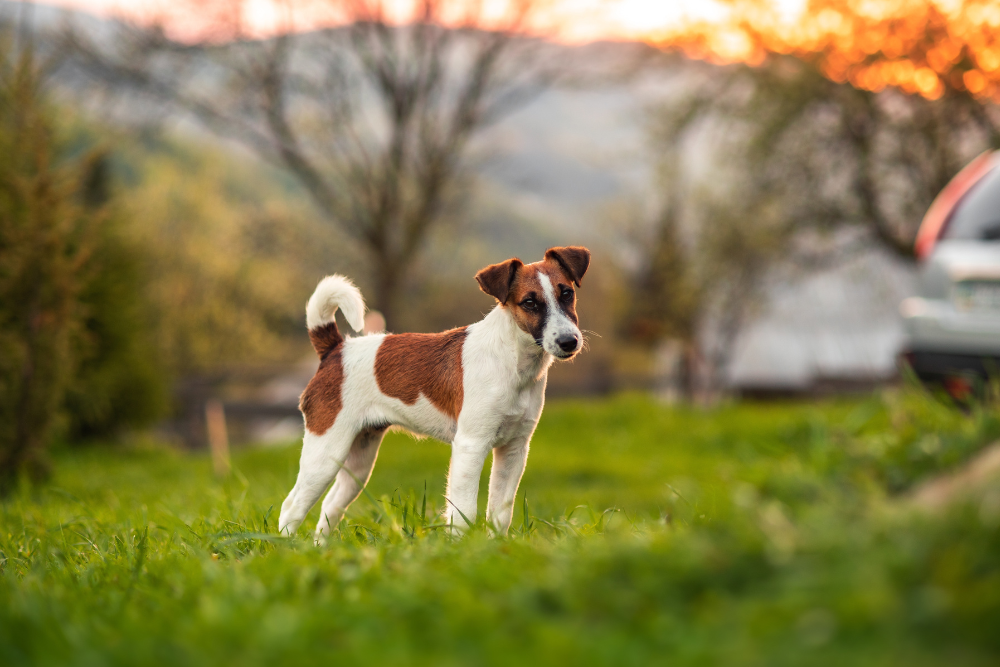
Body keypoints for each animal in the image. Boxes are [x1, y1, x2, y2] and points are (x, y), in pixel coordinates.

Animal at [278, 248, 588, 540]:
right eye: (529, 303)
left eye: (567, 293)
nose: (569, 341)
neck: (511, 359)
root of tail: (336, 349)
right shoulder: (470, 446)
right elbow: (464, 511)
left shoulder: (514, 450)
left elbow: (500, 511)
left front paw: (496, 545)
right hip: (325, 452)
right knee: (291, 506)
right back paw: (286, 546)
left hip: (359, 459)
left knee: (330, 506)